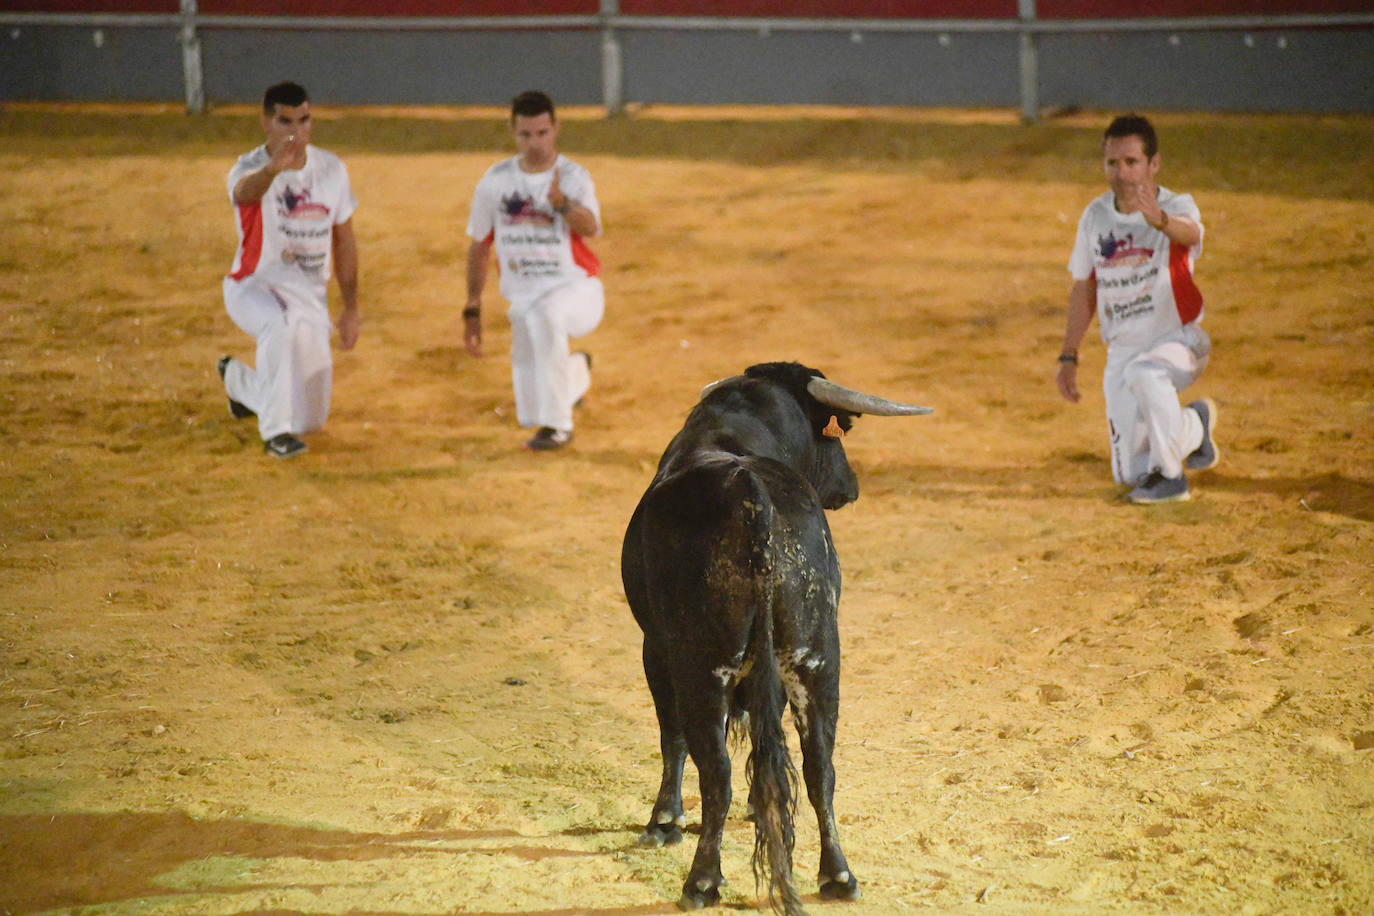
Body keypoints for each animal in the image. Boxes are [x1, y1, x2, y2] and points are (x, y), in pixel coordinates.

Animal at [623, 362, 934, 911]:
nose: (851, 486)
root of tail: (752, 495)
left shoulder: (654, 649)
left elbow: (672, 736)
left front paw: (664, 822)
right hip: (817, 660)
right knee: (819, 767)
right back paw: (838, 875)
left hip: (704, 669)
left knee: (717, 773)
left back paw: (701, 881)